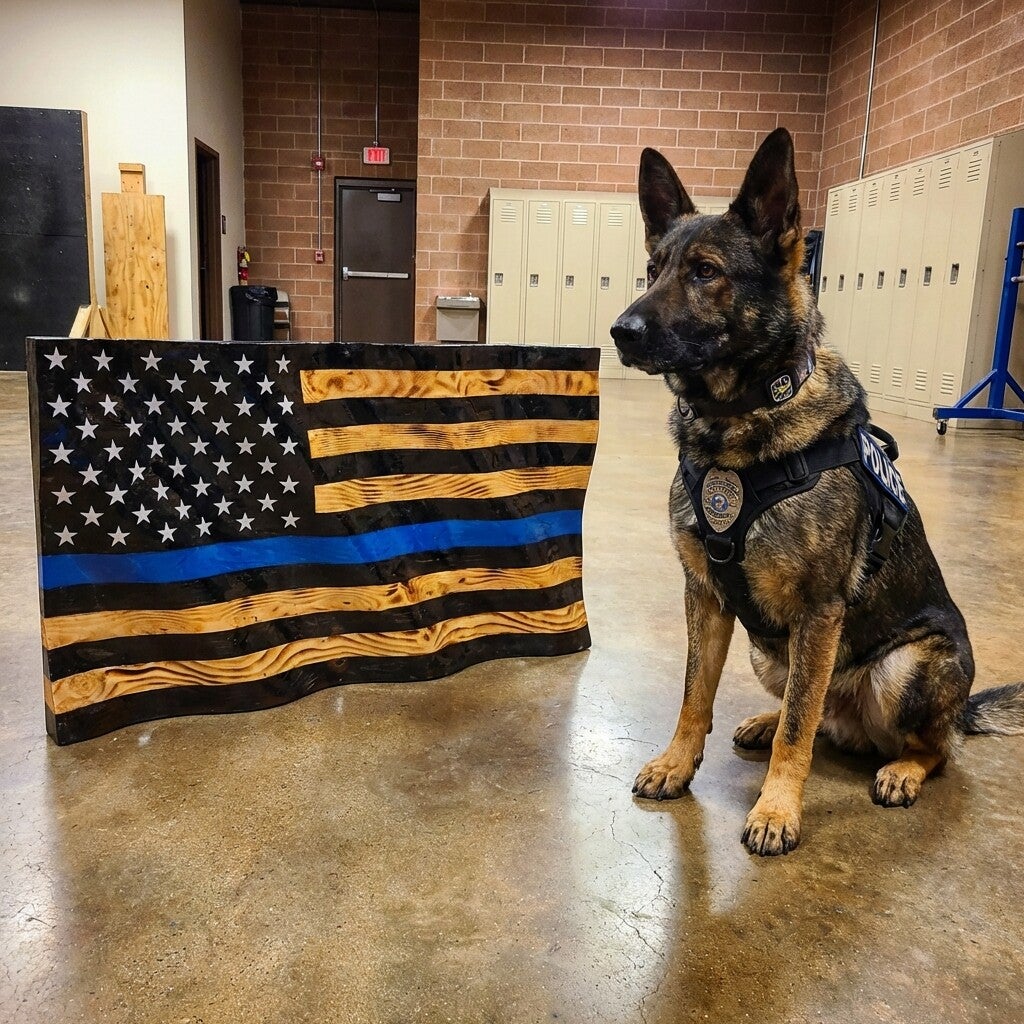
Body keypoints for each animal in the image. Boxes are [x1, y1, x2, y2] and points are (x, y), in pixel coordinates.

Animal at [609, 127, 1024, 856]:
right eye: (653, 268)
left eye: (706, 272)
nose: (620, 332)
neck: (738, 426)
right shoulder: (706, 596)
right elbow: (695, 695)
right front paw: (677, 764)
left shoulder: (818, 609)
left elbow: (798, 731)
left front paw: (778, 809)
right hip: (768, 648)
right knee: (816, 711)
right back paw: (763, 721)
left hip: (902, 668)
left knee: (922, 745)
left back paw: (902, 770)